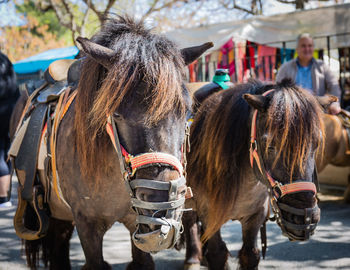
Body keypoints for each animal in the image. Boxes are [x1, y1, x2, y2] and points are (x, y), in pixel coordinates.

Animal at [182, 78, 334, 270]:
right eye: (270, 145)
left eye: (316, 143)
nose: (305, 218)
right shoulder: (209, 214)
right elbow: (217, 253)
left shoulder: (255, 217)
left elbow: (250, 255)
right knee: (189, 221)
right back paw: (192, 259)